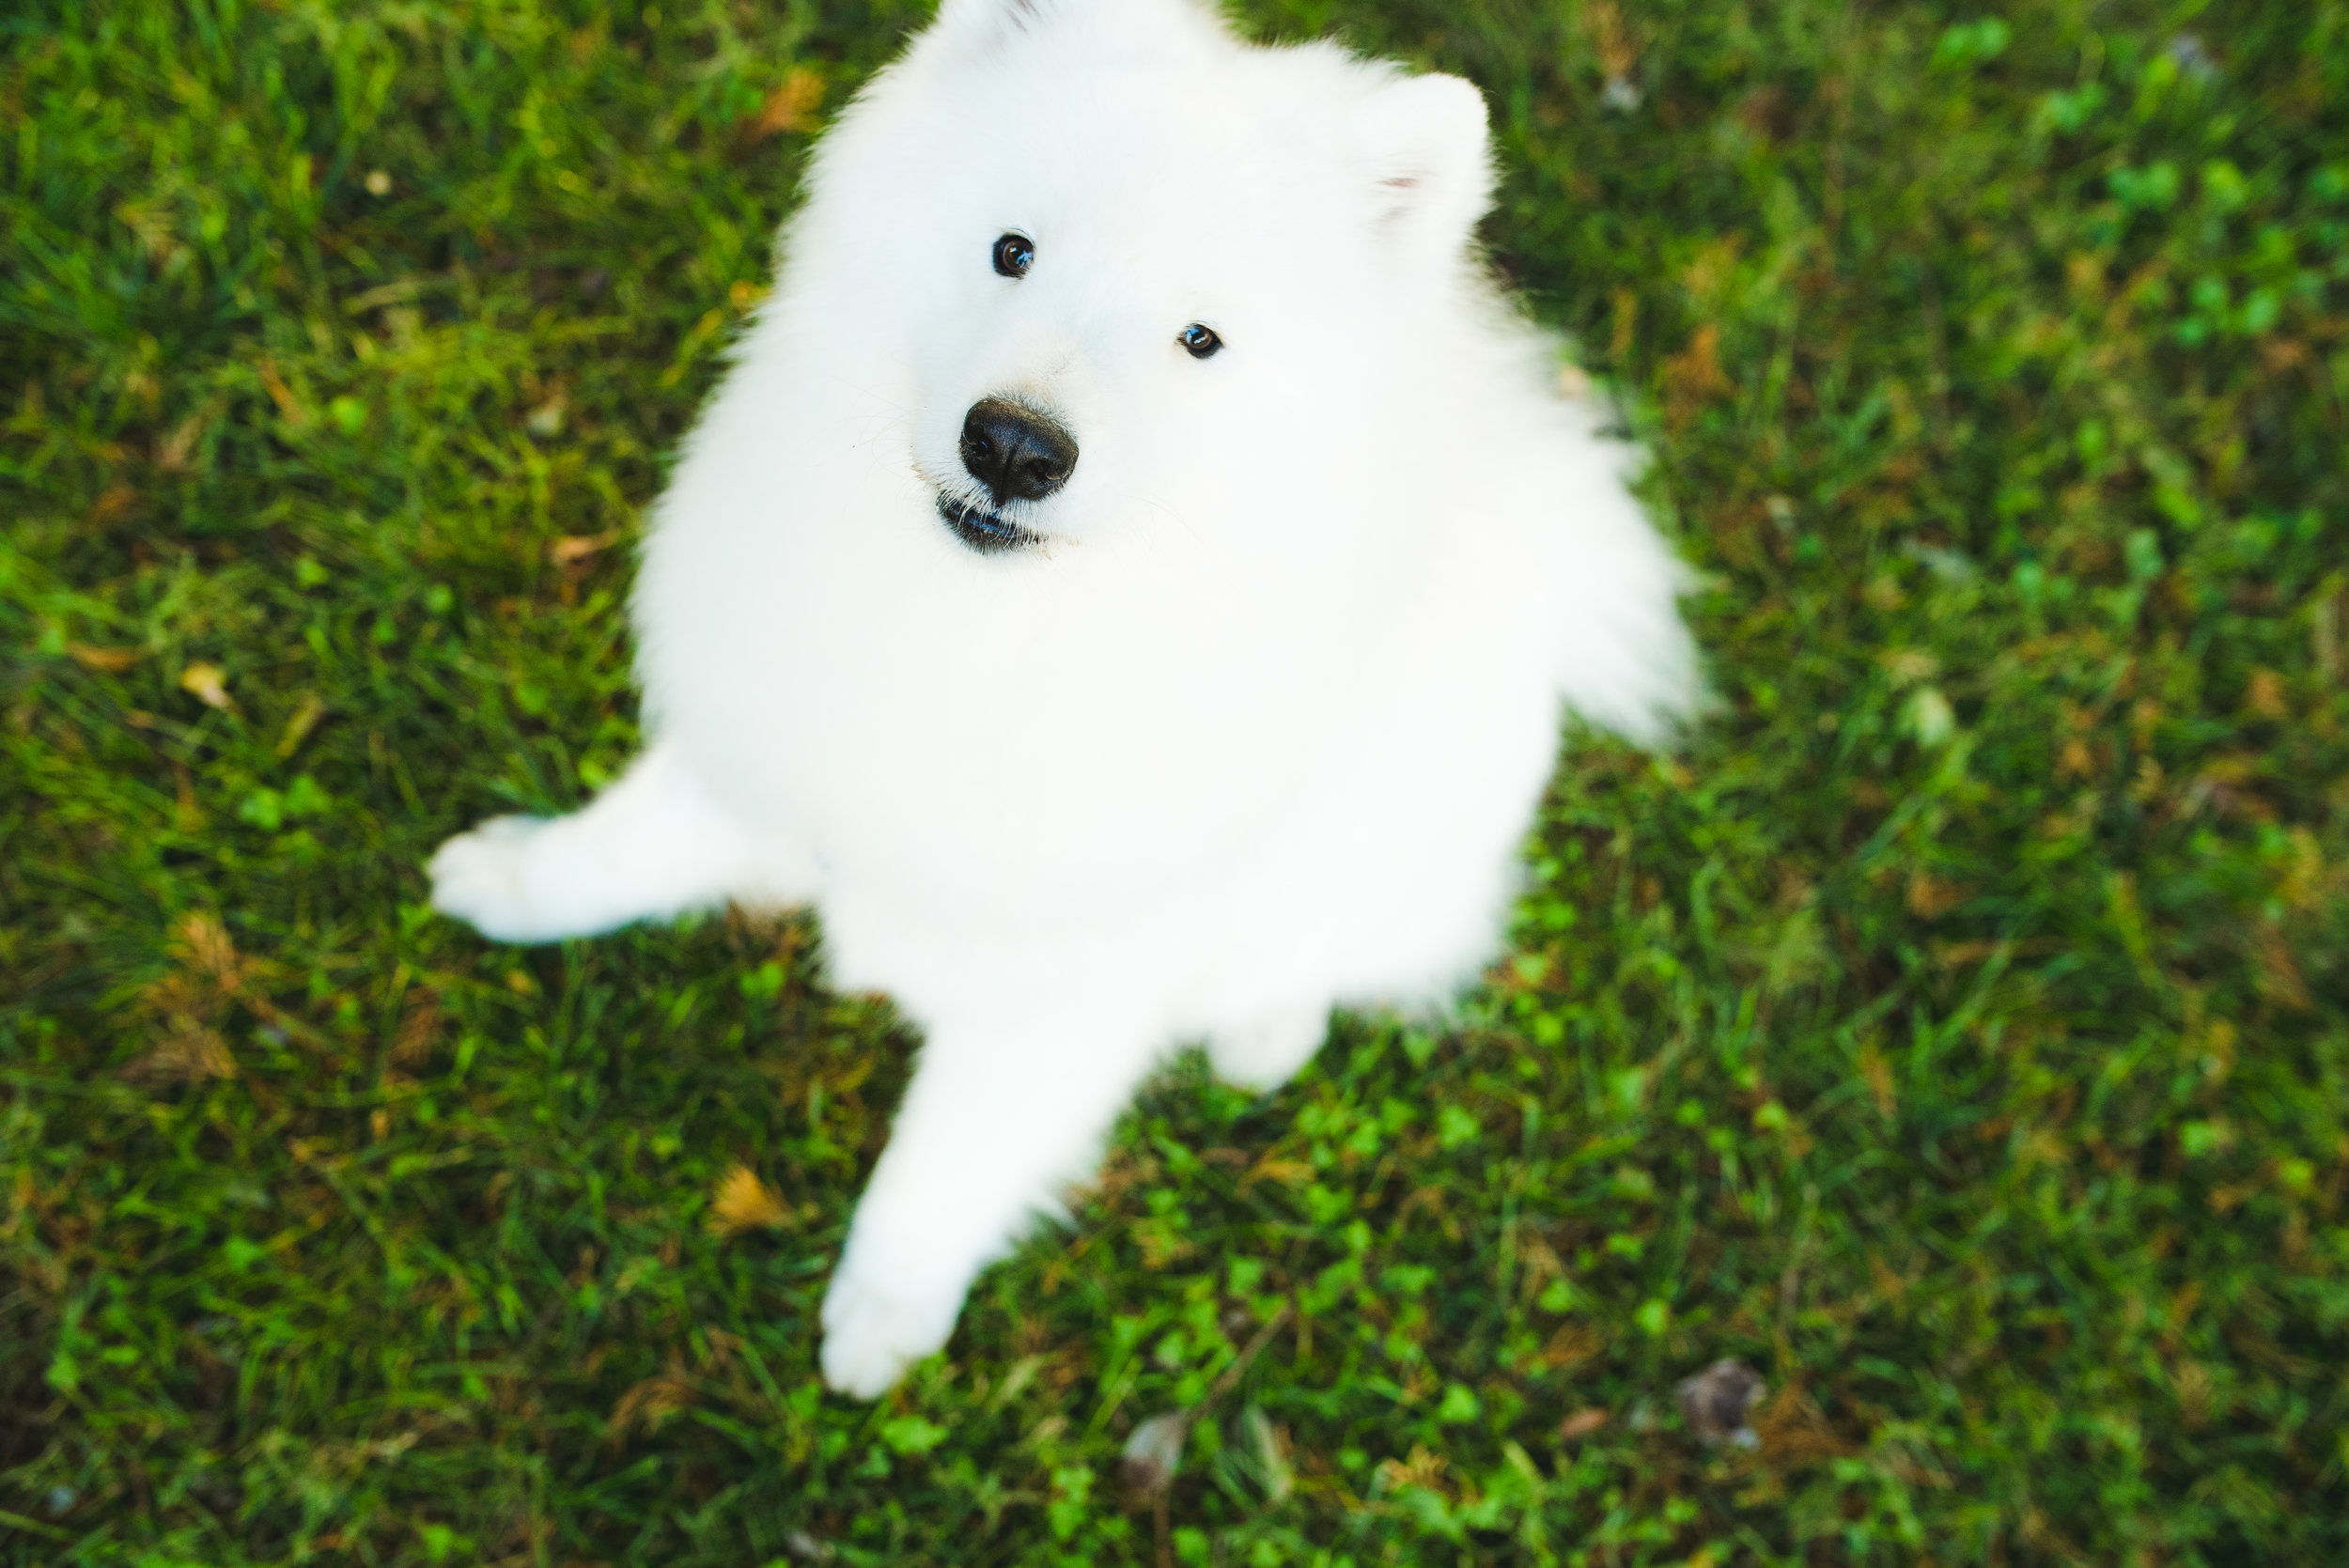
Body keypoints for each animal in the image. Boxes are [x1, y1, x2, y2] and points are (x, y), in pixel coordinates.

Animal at [432, 0, 1701, 1399]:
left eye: (1200, 339)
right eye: (1013, 251)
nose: (1015, 447)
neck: (985, 634)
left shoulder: (1055, 1003)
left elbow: (942, 1166)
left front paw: (882, 1318)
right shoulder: (777, 729)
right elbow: (628, 840)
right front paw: (519, 883)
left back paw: (1266, 1026)